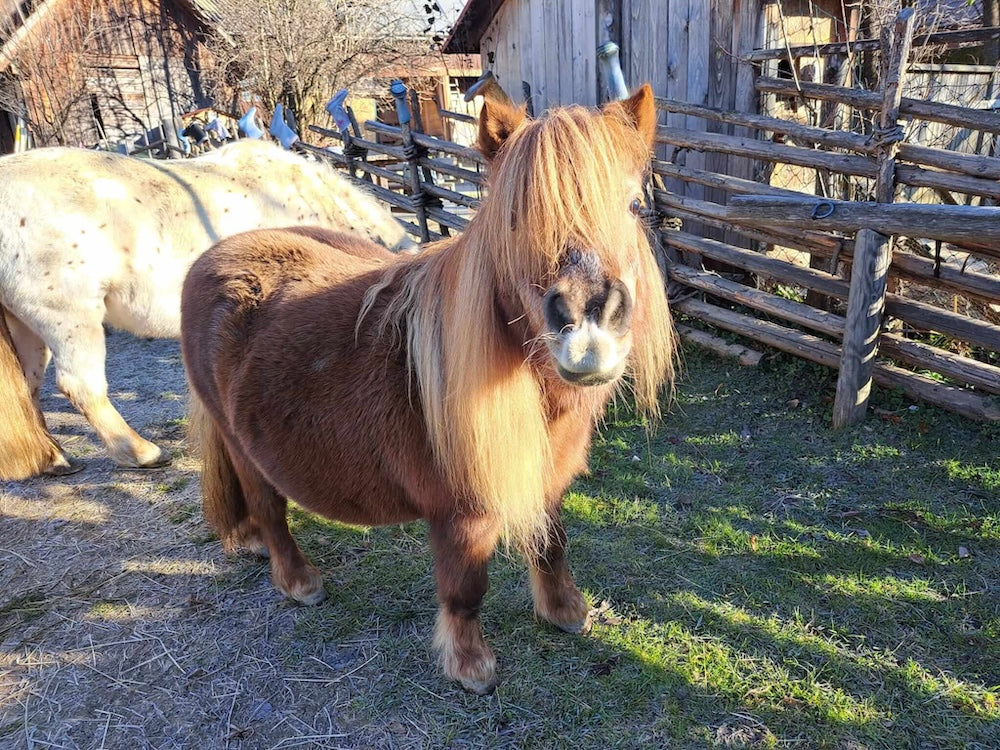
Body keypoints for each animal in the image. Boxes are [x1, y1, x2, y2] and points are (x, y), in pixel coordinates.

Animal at [0, 140, 413, 480]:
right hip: (69, 318)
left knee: (29, 386)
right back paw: (142, 453)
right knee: (82, 386)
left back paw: (54, 458)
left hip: (28, 326)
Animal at [180, 84, 674, 694]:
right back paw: (298, 582)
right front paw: (471, 666)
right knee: (269, 508)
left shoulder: (548, 481)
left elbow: (552, 542)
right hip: (244, 449)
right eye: (515, 219)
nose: (587, 326)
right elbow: (466, 590)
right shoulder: (460, 516)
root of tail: (208, 259)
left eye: (633, 207)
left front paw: (564, 612)